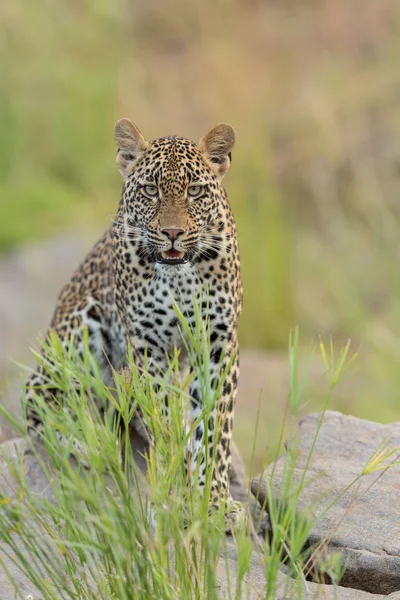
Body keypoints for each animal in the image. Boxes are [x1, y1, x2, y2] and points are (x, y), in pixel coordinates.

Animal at [25, 119, 244, 528]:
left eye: (194, 191)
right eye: (150, 190)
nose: (172, 233)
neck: (179, 276)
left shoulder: (218, 345)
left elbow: (213, 431)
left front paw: (215, 502)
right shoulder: (147, 349)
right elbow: (164, 426)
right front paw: (175, 500)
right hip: (80, 328)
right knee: (42, 396)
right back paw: (91, 442)